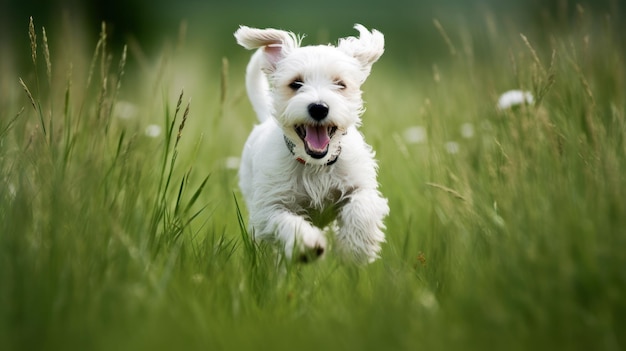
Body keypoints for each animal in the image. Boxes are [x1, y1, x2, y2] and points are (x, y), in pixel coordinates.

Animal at [234, 24, 388, 264]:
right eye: (296, 83)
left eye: (340, 84)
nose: (318, 107)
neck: (316, 165)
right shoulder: (268, 208)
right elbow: (286, 221)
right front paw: (307, 244)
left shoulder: (360, 185)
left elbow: (361, 207)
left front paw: (356, 248)